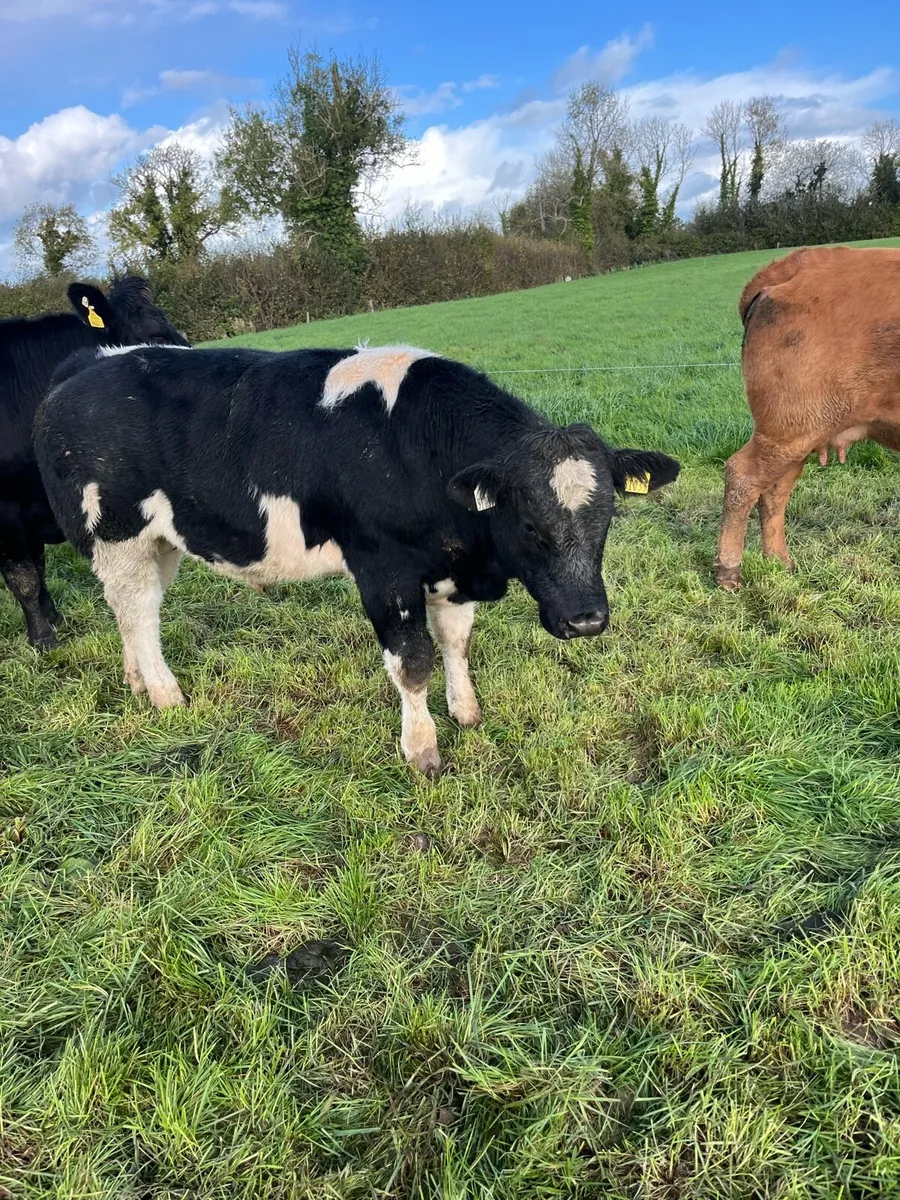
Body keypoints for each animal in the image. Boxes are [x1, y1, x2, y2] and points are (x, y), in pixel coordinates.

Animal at [0, 277, 189, 649]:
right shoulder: (3, 513)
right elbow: (24, 576)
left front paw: (53, 617)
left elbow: (38, 569)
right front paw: (43, 639)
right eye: (157, 337)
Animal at [34, 343, 680, 775]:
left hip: (157, 541)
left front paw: (466, 712)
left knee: (130, 612)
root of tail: (86, 364)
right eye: (528, 523)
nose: (587, 620)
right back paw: (167, 696)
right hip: (116, 534)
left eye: (607, 515)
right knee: (140, 612)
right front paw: (422, 750)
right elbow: (413, 661)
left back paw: (137, 683)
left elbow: (456, 642)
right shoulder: (384, 570)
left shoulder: (451, 572)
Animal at [716, 245, 900, 590]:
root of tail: (800, 261)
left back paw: (779, 561)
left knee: (773, 493)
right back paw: (729, 571)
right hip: (787, 428)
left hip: (796, 436)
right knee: (742, 478)